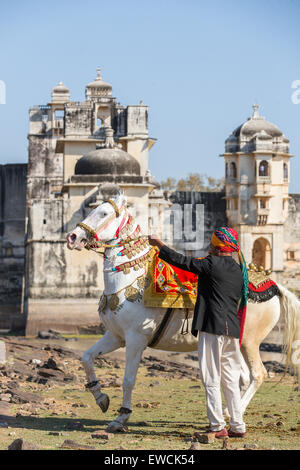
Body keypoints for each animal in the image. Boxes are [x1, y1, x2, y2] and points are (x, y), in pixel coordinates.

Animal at [67, 189, 300, 432]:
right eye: (92, 209)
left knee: (258, 374)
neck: (130, 277)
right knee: (243, 376)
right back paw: (229, 413)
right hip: (237, 342)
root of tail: (274, 285)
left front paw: (121, 417)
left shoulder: (135, 338)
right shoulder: (116, 335)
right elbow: (86, 357)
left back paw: (230, 416)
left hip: (249, 341)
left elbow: (128, 380)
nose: (73, 237)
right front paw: (101, 398)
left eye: (103, 213)